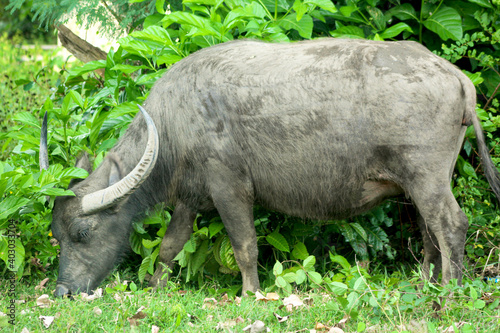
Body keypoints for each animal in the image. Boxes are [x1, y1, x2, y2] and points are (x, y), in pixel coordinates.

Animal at [42, 38, 500, 296]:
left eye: (83, 233)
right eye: (57, 236)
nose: (63, 291)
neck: (173, 125)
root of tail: (458, 77)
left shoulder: (229, 186)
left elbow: (245, 245)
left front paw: (250, 294)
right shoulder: (190, 198)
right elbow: (170, 247)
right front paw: (154, 287)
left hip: (426, 177)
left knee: (451, 225)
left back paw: (450, 291)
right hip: (420, 183)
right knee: (429, 233)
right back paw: (424, 285)